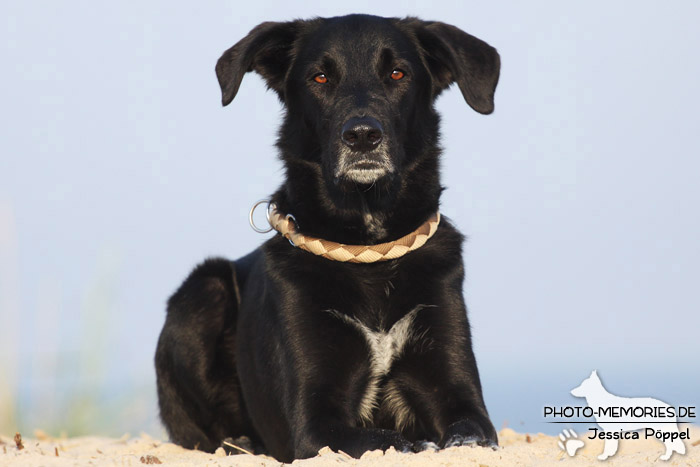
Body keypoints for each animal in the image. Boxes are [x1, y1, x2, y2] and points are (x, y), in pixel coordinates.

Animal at [156, 12, 500, 462]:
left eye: (397, 73)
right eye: (319, 77)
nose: (362, 136)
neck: (369, 251)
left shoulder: (462, 399)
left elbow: (467, 434)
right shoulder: (315, 424)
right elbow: (385, 439)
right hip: (202, 294)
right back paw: (242, 443)